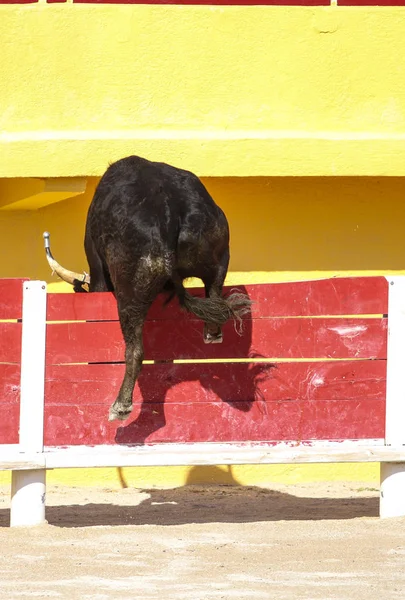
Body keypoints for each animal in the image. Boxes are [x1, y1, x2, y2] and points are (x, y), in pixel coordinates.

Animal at [45, 155, 251, 422]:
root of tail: (170, 211)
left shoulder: (97, 267)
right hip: (218, 257)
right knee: (215, 300)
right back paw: (211, 335)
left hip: (130, 292)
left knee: (134, 351)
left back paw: (120, 406)